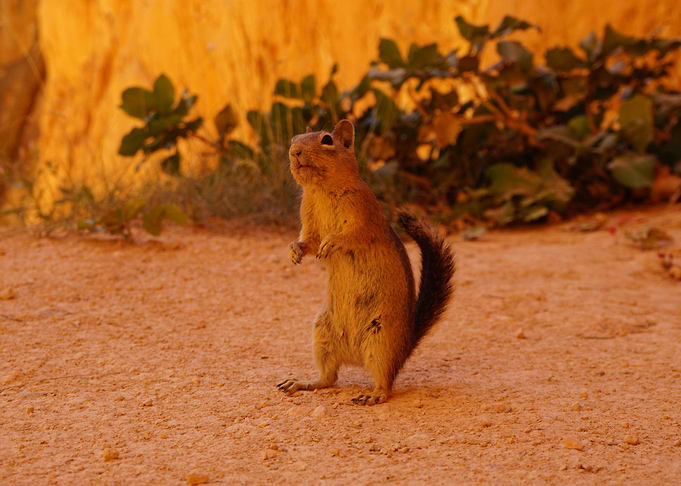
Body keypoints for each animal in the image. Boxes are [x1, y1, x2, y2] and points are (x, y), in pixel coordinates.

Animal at [277, 119, 455, 405]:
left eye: (327, 140)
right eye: (293, 139)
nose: (295, 152)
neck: (322, 190)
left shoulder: (364, 215)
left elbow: (352, 236)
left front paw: (332, 243)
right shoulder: (309, 219)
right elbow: (309, 241)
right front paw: (294, 250)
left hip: (381, 341)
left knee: (385, 382)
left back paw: (373, 395)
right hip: (322, 334)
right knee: (329, 378)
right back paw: (302, 382)